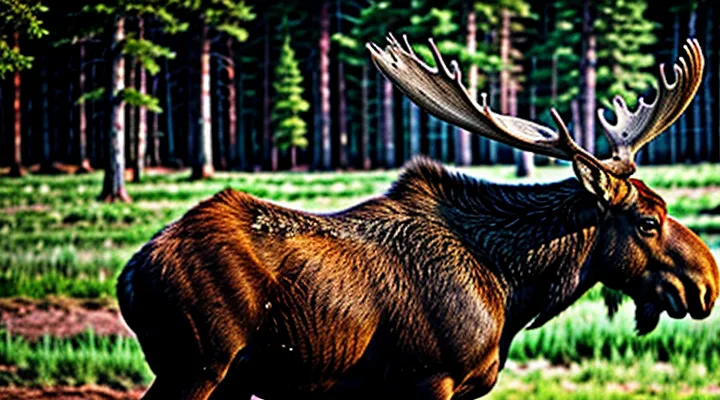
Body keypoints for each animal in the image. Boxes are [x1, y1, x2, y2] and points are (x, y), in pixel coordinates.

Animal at [117, 34, 719, 400]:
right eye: (647, 220)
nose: (707, 284)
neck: (513, 291)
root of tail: (129, 276)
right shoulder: (428, 377)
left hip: (231, 377)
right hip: (195, 365)